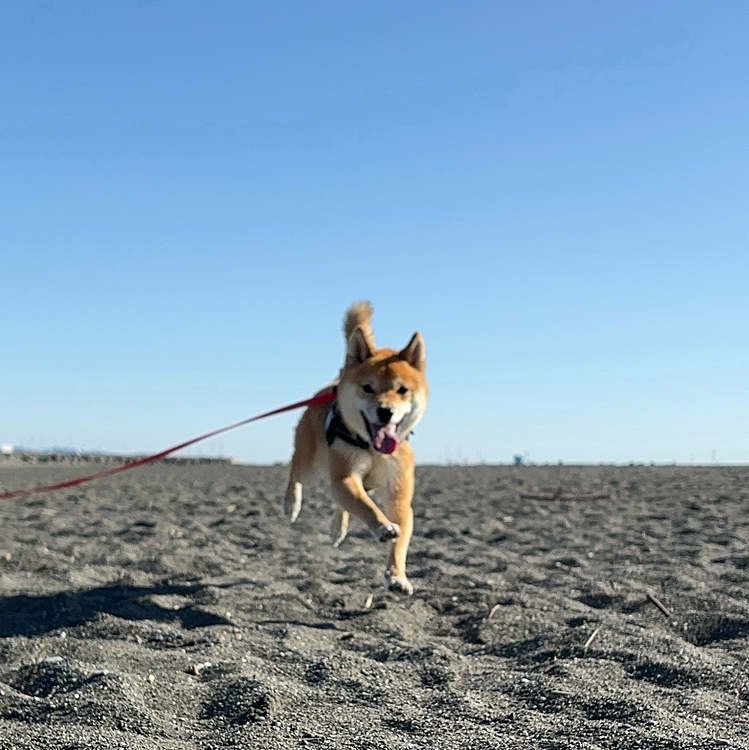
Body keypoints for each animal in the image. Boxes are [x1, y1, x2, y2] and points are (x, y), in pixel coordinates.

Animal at [284, 302, 430, 596]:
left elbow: (400, 538)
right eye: (368, 388)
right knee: (296, 472)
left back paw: (337, 529)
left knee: (342, 504)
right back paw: (291, 504)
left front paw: (397, 576)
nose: (385, 412)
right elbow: (365, 506)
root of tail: (334, 383)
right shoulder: (345, 475)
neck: (373, 449)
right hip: (311, 464)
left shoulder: (398, 493)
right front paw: (383, 526)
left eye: (402, 390)